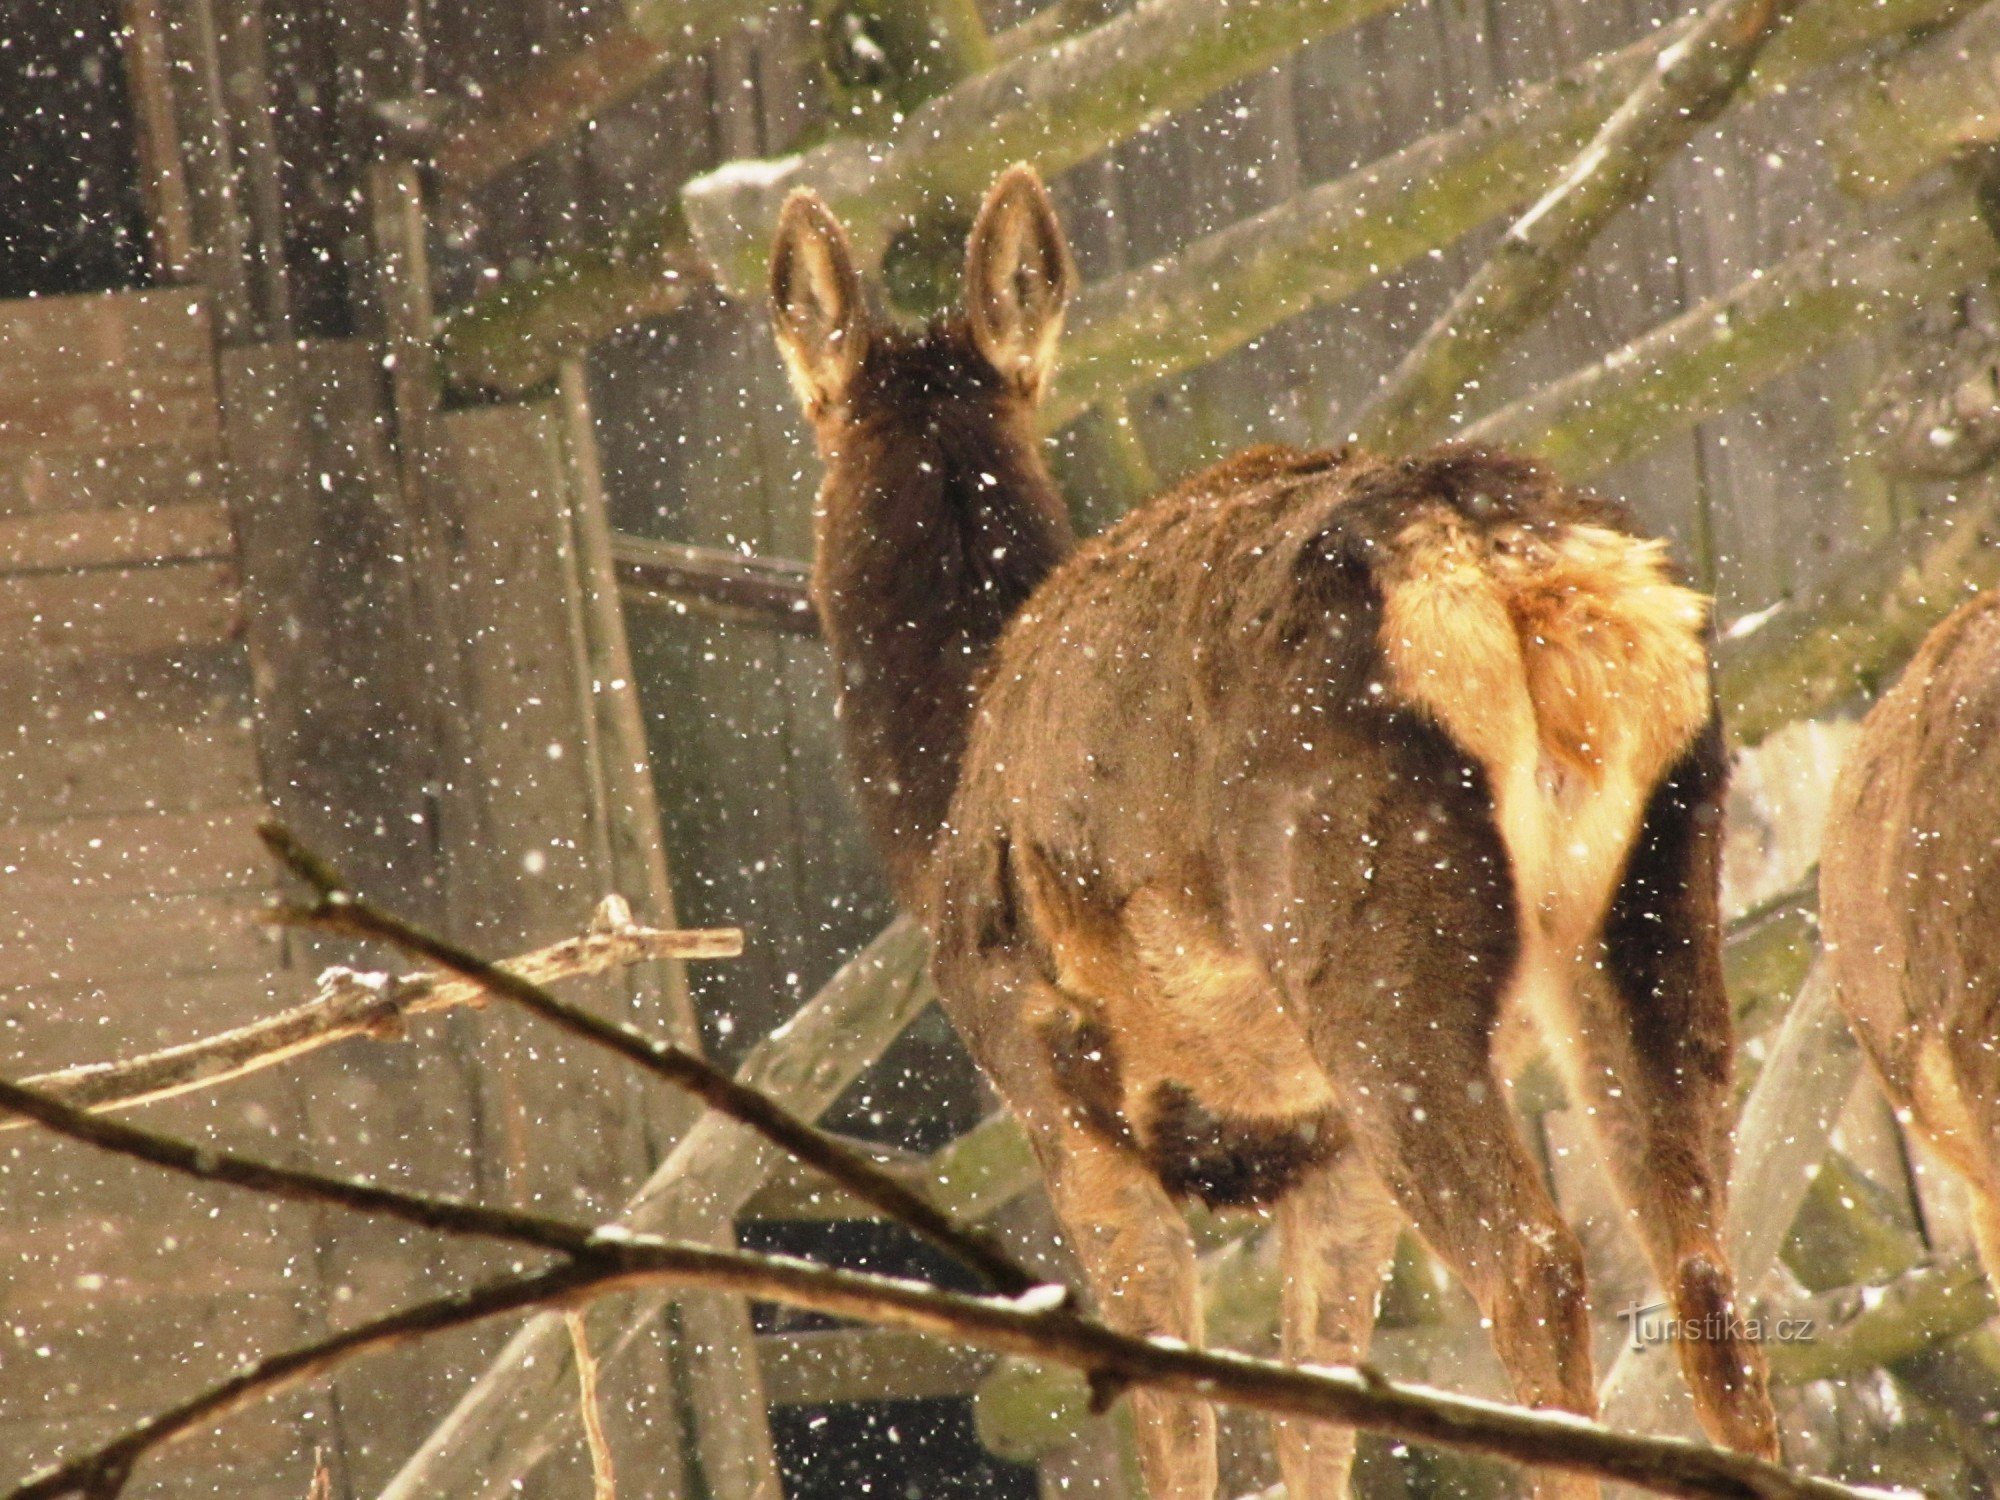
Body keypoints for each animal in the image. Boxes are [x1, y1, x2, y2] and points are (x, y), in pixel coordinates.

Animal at [764, 167, 1784, 1500]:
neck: (937, 797)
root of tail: (1499, 566)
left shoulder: (1060, 1099)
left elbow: (1176, 1417)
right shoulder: (1320, 1150)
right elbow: (1316, 1414)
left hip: (1363, 941)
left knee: (1532, 1265)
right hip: (1651, 895)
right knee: (1707, 1280)